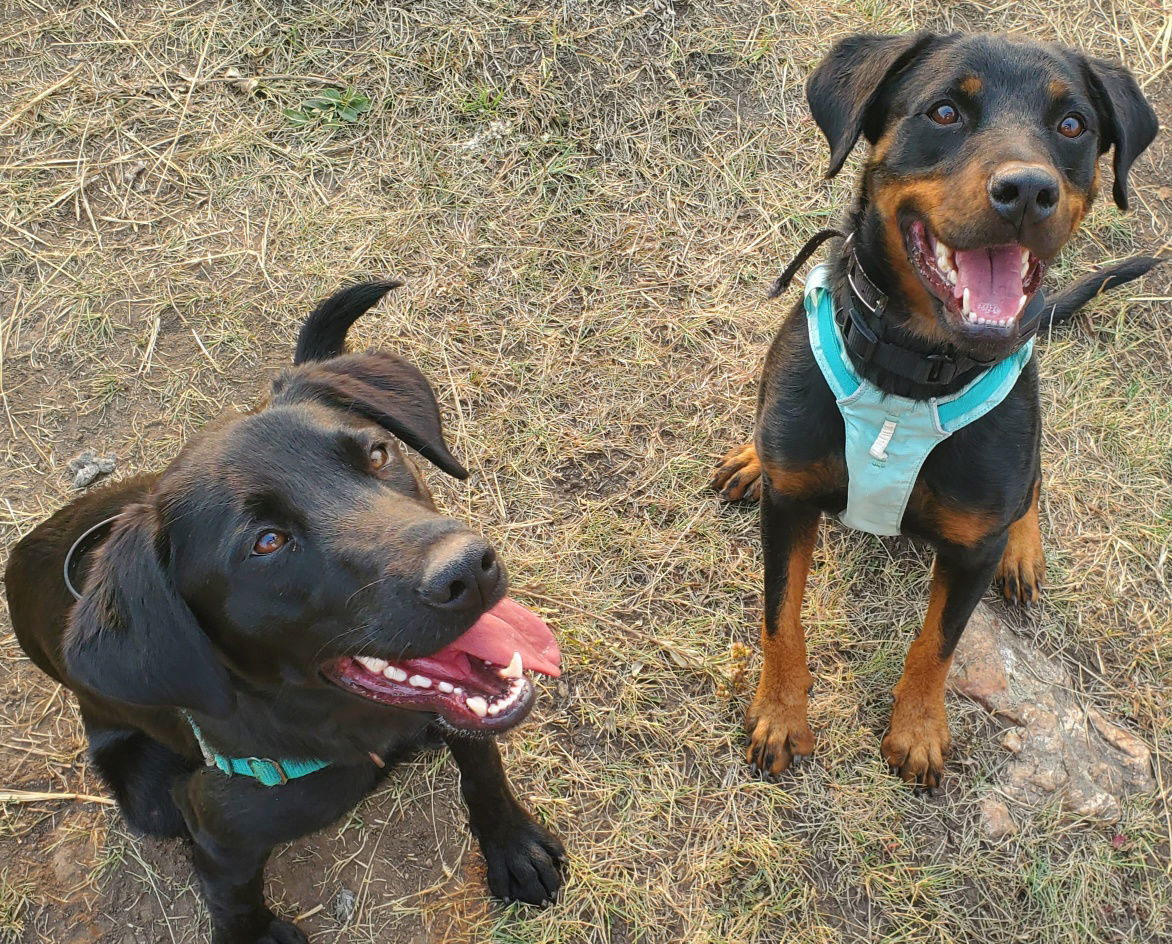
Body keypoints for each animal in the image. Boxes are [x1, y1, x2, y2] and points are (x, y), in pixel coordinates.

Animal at [4, 281, 562, 942]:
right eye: (267, 543)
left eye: (378, 455)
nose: (470, 570)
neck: (352, 726)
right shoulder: (219, 834)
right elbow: (233, 897)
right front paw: (256, 932)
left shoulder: (464, 719)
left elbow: (482, 767)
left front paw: (512, 845)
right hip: (148, 793)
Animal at [707, 33, 1157, 792]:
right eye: (944, 111)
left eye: (1073, 125)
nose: (1027, 190)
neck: (911, 372)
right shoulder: (789, 505)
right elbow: (780, 616)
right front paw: (779, 715)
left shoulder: (971, 548)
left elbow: (937, 642)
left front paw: (917, 729)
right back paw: (748, 458)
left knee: (1036, 479)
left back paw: (1024, 547)